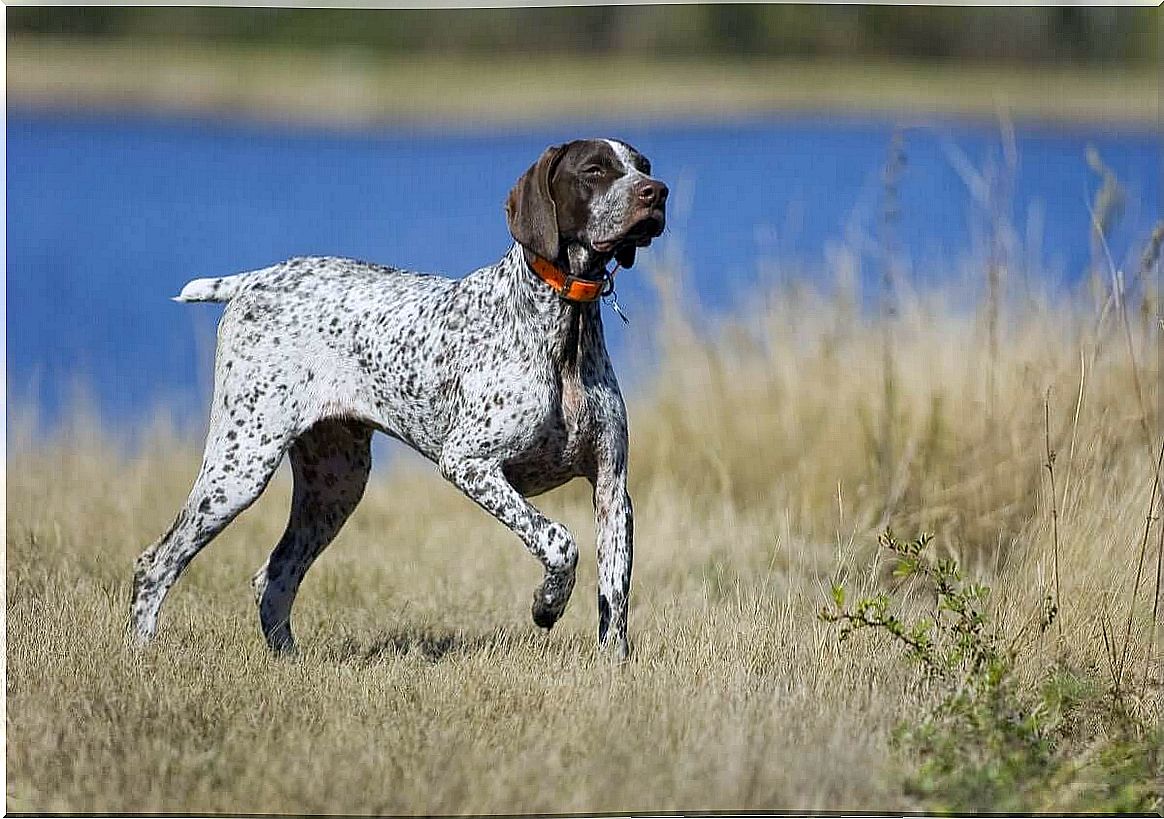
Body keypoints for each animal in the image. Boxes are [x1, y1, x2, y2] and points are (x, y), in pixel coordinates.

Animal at [128, 139, 670, 660]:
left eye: (642, 165)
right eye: (595, 170)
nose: (657, 192)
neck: (564, 325)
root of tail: (255, 279)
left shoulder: (612, 490)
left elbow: (614, 598)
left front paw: (612, 668)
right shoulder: (468, 463)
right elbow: (559, 541)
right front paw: (547, 604)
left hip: (335, 485)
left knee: (275, 576)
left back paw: (288, 660)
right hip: (241, 465)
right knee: (156, 563)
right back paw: (141, 654)